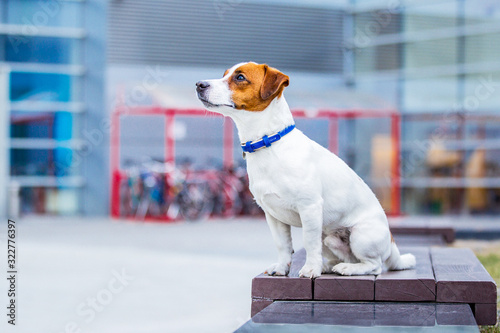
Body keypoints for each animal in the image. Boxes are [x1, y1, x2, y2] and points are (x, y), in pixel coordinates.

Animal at [195, 61, 414, 276]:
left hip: (361, 236)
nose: (199, 84)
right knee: (339, 256)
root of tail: (392, 243)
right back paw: (327, 266)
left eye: (240, 77)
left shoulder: (310, 207)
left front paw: (310, 269)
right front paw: (282, 268)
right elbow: (283, 245)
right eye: (224, 74)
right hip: (327, 237)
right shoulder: (273, 215)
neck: (269, 144)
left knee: (373, 264)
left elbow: (309, 244)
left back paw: (348, 268)